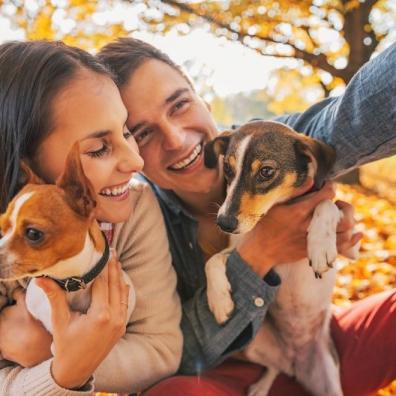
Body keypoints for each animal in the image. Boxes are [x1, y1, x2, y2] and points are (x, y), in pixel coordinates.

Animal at [204, 120, 358, 396]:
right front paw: (219, 301)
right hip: (250, 345)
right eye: (228, 169)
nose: (223, 223)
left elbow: (328, 206)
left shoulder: (350, 244)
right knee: (275, 367)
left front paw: (320, 245)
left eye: (266, 171)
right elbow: (211, 261)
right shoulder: (242, 247)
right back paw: (261, 387)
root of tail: (294, 360)